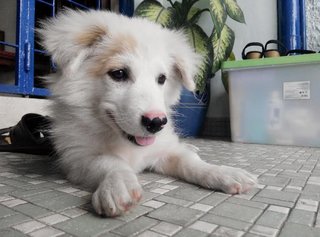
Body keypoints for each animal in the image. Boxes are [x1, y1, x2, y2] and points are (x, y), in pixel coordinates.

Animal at [38, 9, 258, 217]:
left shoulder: (164, 150)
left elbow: (190, 162)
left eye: (161, 79)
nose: (156, 122)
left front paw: (223, 173)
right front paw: (118, 185)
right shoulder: (77, 158)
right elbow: (110, 161)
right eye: (119, 74)